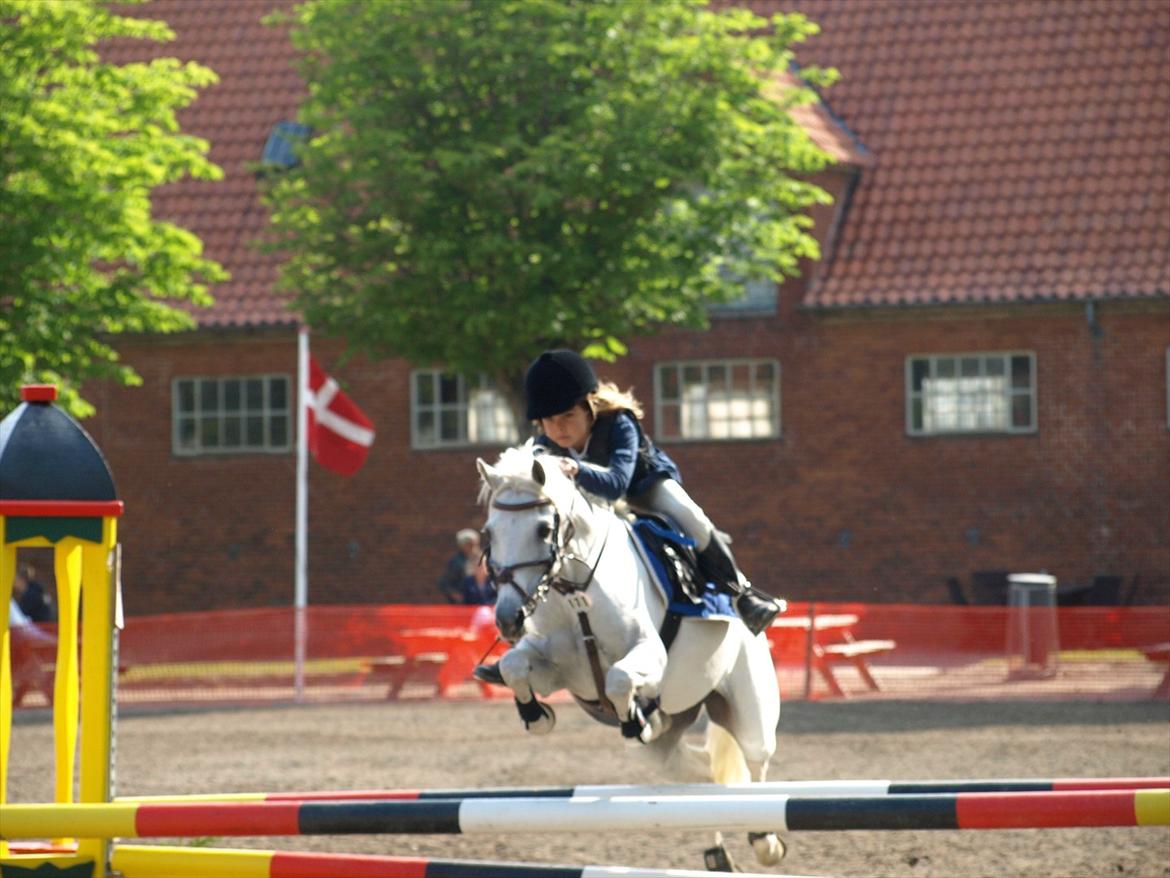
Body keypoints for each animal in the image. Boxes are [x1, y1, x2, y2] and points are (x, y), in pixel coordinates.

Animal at [475, 447, 786, 866]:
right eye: (489, 533)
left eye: (542, 530)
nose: (509, 619)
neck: (575, 593)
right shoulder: (560, 672)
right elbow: (513, 667)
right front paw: (537, 715)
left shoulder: (650, 657)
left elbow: (620, 679)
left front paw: (635, 718)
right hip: (664, 749)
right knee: (703, 779)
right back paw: (716, 850)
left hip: (750, 712)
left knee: (755, 766)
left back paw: (765, 841)